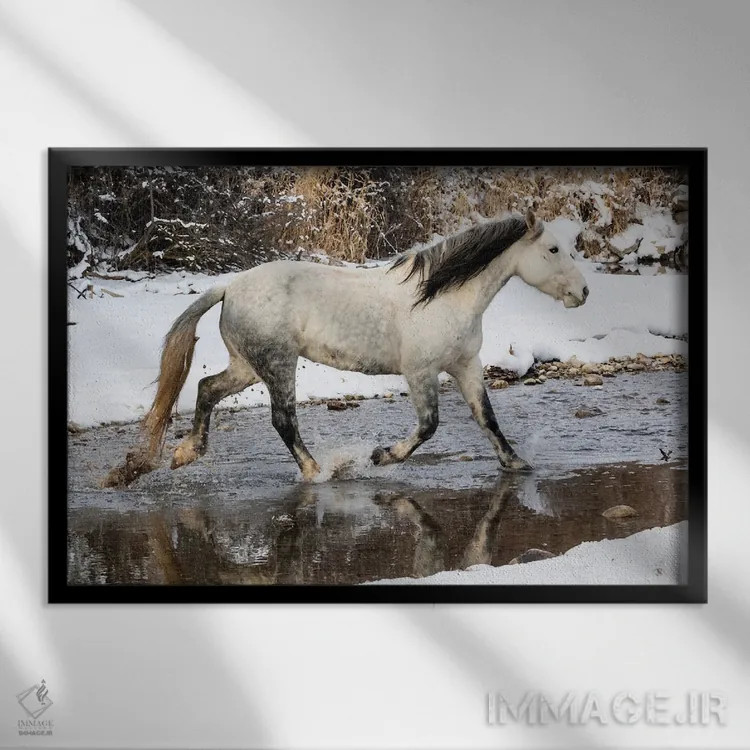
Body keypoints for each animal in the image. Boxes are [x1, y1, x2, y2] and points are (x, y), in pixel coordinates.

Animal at [104, 209, 588, 487]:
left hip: (248, 365)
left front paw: (516, 464)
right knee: (283, 420)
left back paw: (186, 454)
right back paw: (318, 472)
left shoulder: (465, 365)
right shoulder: (421, 372)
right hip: (278, 364)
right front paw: (380, 456)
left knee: (206, 388)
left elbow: (486, 418)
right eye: (553, 249)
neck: (441, 296)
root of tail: (229, 286)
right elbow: (429, 426)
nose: (583, 293)